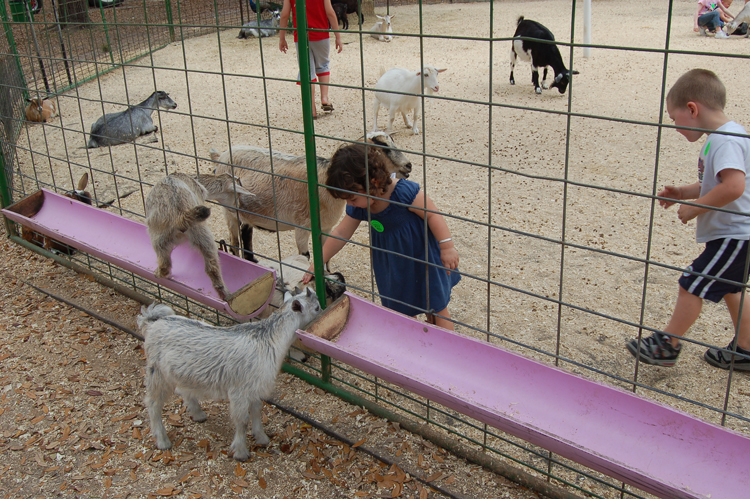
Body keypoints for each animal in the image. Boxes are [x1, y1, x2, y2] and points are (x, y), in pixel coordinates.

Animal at [140, 288, 322, 462]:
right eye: (317, 307)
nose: (322, 310)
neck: (269, 339)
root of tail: (153, 322)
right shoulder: (239, 391)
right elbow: (242, 420)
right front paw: (241, 452)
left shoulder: (255, 387)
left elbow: (256, 410)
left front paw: (261, 438)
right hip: (157, 372)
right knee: (153, 403)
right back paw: (162, 440)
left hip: (180, 371)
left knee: (183, 389)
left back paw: (198, 414)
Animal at [145, 172, 258, 300]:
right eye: (237, 195)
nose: (238, 209)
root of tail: (180, 217)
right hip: (201, 232)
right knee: (212, 266)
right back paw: (227, 296)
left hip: (158, 234)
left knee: (165, 263)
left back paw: (158, 273)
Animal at [209, 133, 414, 266]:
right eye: (383, 147)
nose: (409, 165)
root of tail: (221, 156)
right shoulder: (302, 226)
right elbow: (306, 256)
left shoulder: (327, 228)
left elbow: (326, 256)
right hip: (229, 211)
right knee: (235, 241)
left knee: (246, 232)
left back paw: (253, 260)